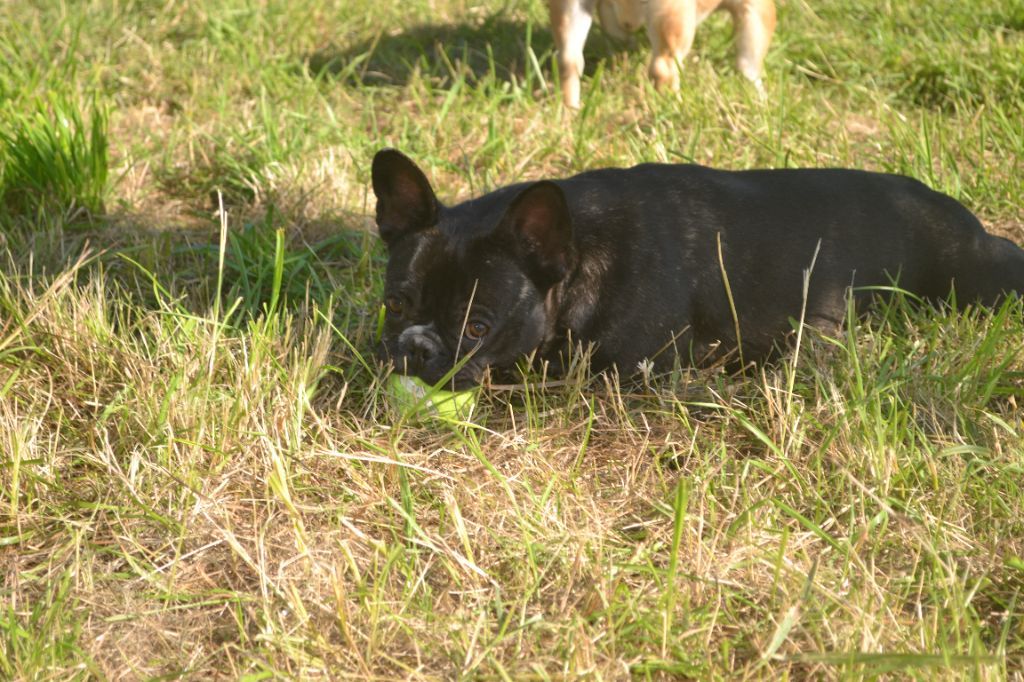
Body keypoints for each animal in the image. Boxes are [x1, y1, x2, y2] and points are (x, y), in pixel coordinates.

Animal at [374, 148, 1024, 387]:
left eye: (478, 326)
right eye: (395, 304)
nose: (415, 346)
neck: (579, 253)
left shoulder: (632, 372)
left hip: (981, 275)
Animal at [552, 0, 774, 107]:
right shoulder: (755, 9)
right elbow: (749, 63)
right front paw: (761, 98)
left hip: (573, 9)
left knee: (568, 61)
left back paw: (570, 112)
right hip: (673, 14)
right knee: (663, 68)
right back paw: (674, 109)